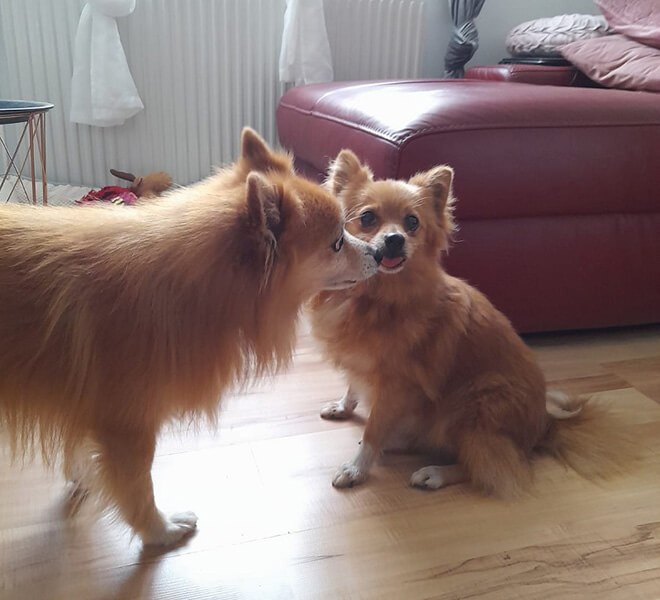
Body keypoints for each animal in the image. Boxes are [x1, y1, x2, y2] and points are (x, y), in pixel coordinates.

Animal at [0, 129, 380, 546]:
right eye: (337, 243)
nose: (379, 252)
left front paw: (84, 476)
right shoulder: (127, 427)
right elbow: (138, 488)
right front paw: (160, 530)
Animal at [310, 149, 634, 496]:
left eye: (412, 223)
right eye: (368, 218)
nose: (396, 239)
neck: (375, 296)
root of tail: (544, 428)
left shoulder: (395, 385)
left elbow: (373, 431)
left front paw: (356, 468)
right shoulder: (363, 362)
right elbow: (353, 387)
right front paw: (344, 407)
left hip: (472, 405)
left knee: (484, 465)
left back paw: (435, 473)